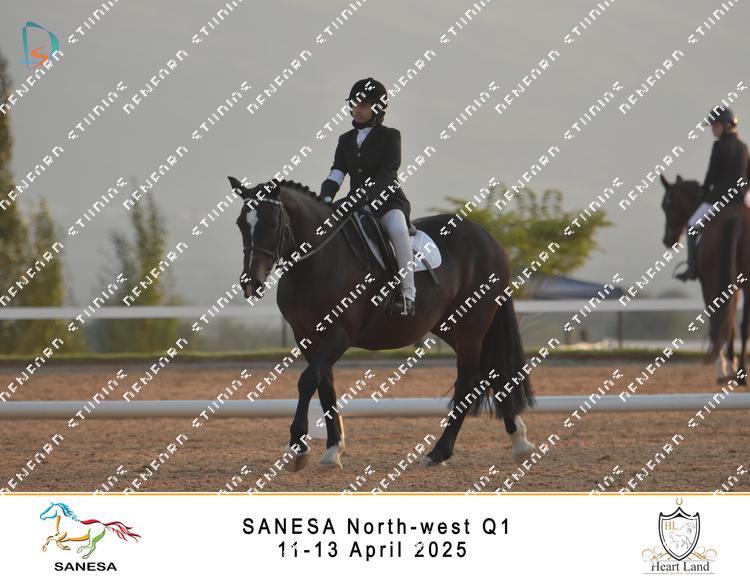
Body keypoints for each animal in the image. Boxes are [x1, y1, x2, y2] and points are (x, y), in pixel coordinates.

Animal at [229, 176, 536, 471]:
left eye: (272, 222)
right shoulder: (305, 336)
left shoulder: (339, 334)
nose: (251, 282)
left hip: (472, 322)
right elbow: (324, 385)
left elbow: (307, 381)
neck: (318, 262)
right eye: (241, 223)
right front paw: (332, 451)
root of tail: (489, 239)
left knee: (469, 380)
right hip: (450, 326)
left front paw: (297, 449)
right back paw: (519, 441)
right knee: (490, 372)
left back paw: (439, 452)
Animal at [659, 174, 750, 383]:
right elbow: (731, 320)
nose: (667, 240)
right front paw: (732, 366)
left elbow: (718, 318)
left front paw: (724, 366)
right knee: (743, 325)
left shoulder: (708, 283)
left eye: (666, 205)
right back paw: (742, 374)